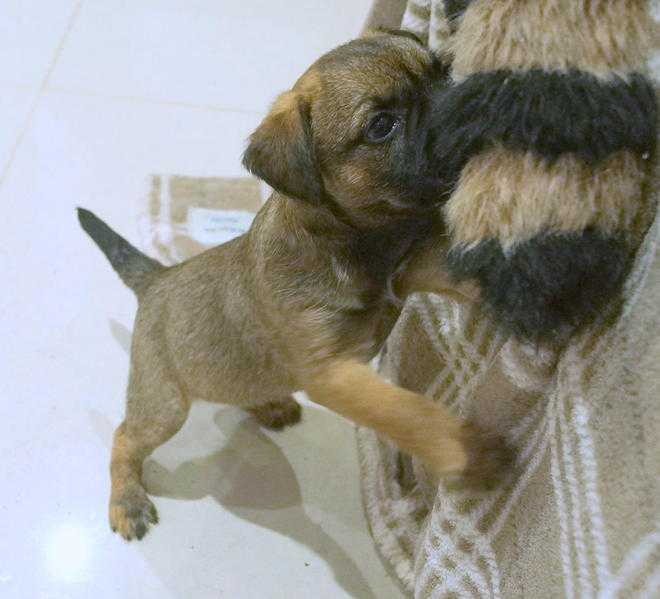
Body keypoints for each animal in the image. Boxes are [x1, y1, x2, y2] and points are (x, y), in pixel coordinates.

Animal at [81, 30, 506, 540]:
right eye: (381, 126)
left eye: (442, 71)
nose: (473, 101)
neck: (361, 241)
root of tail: (157, 277)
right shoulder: (333, 372)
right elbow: (406, 411)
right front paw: (470, 453)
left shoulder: (411, 270)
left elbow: (456, 270)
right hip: (163, 405)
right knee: (125, 437)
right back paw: (126, 500)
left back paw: (269, 405)